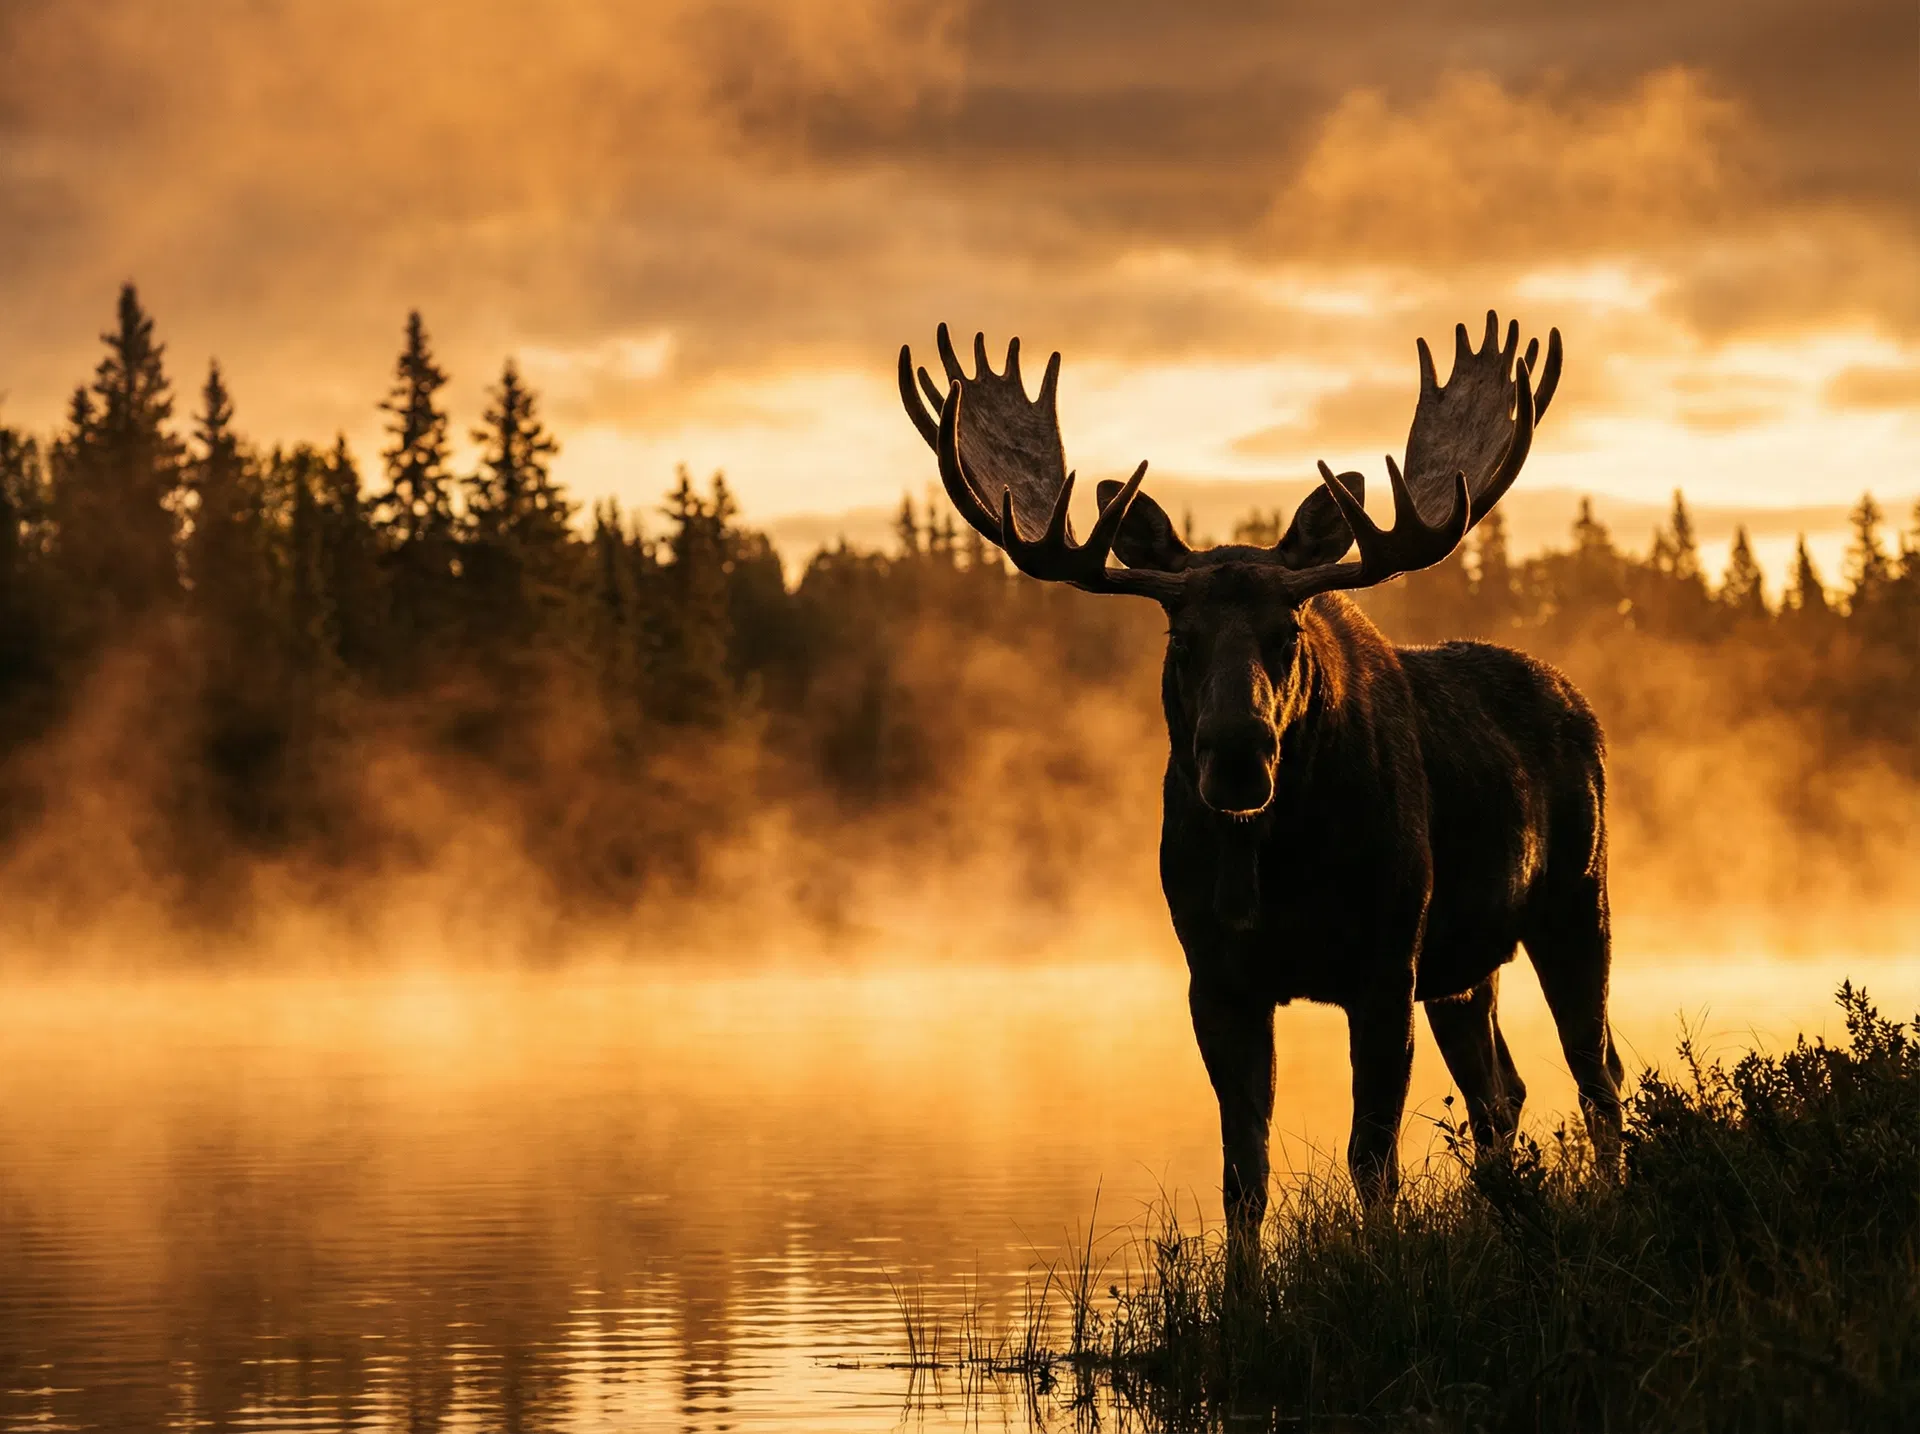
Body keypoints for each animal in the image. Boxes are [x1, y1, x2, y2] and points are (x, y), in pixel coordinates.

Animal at [898, 313, 1624, 1238]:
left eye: (1289, 631)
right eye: (1179, 635)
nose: (1237, 757)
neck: (1274, 864)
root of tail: (1582, 706)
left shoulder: (1386, 963)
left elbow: (1371, 1158)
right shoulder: (1217, 978)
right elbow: (1242, 1174)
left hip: (1576, 901)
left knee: (1597, 1073)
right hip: (1468, 965)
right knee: (1504, 1091)